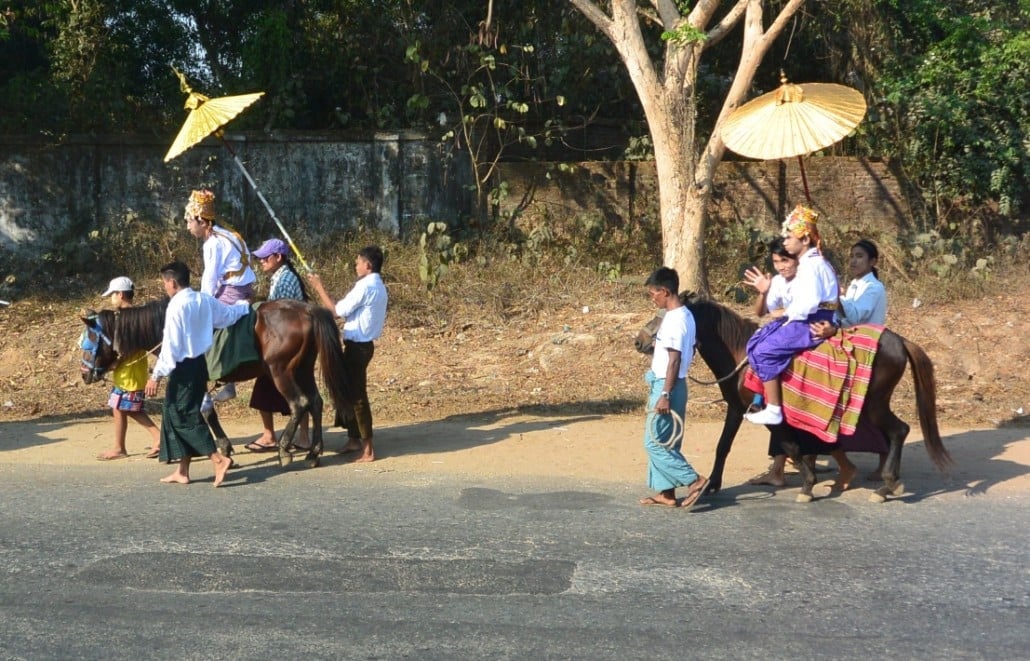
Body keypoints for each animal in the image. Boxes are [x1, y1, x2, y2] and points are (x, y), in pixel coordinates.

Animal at [79, 296, 350, 465]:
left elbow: (205, 411)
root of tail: (307, 310)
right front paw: (223, 447)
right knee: (316, 402)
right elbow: (207, 411)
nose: (84, 373)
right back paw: (314, 452)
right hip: (303, 369)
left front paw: (221, 447)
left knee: (299, 403)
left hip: (280, 371)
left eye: (90, 339)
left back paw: (285, 449)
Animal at [630, 290, 951, 502]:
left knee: (899, 430)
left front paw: (807, 484)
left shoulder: (768, 413)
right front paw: (711, 485)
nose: (639, 341)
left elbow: (790, 445)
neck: (741, 353)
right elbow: (724, 446)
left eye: (663, 316)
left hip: (873, 404)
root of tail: (899, 340)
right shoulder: (737, 408)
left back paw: (885, 485)